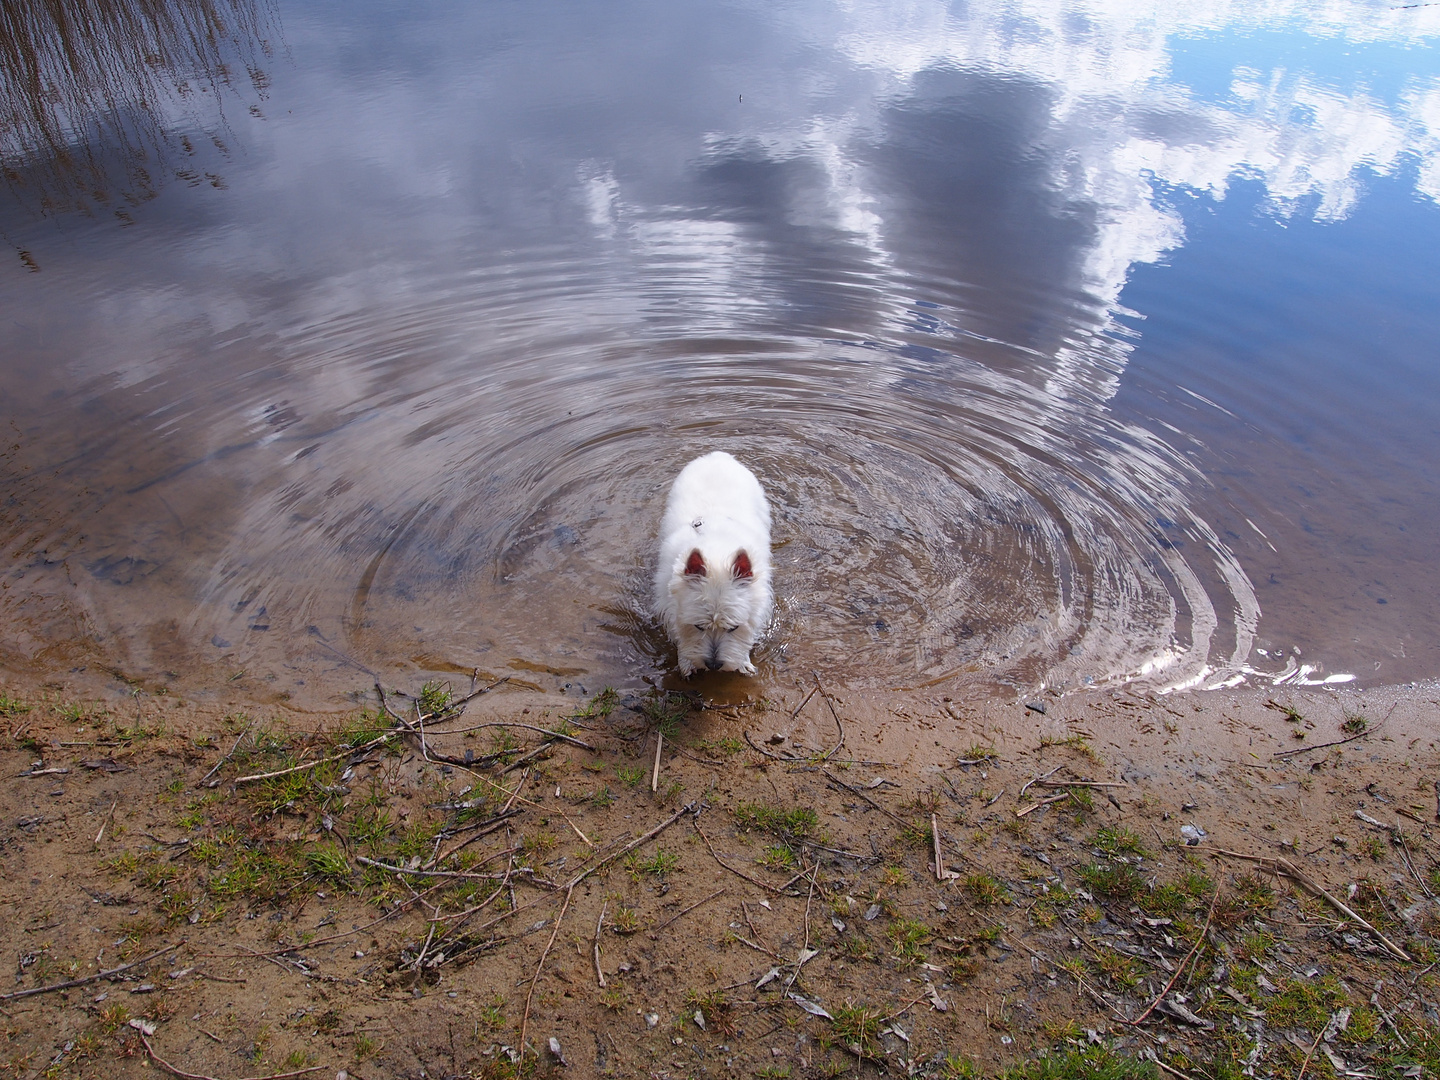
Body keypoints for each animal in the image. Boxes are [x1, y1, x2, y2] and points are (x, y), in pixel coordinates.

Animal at [653, 449, 771, 676]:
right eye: (698, 626)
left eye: (733, 627)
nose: (714, 665)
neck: (717, 547)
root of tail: (718, 455)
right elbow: (678, 629)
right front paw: (686, 662)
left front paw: (743, 660)